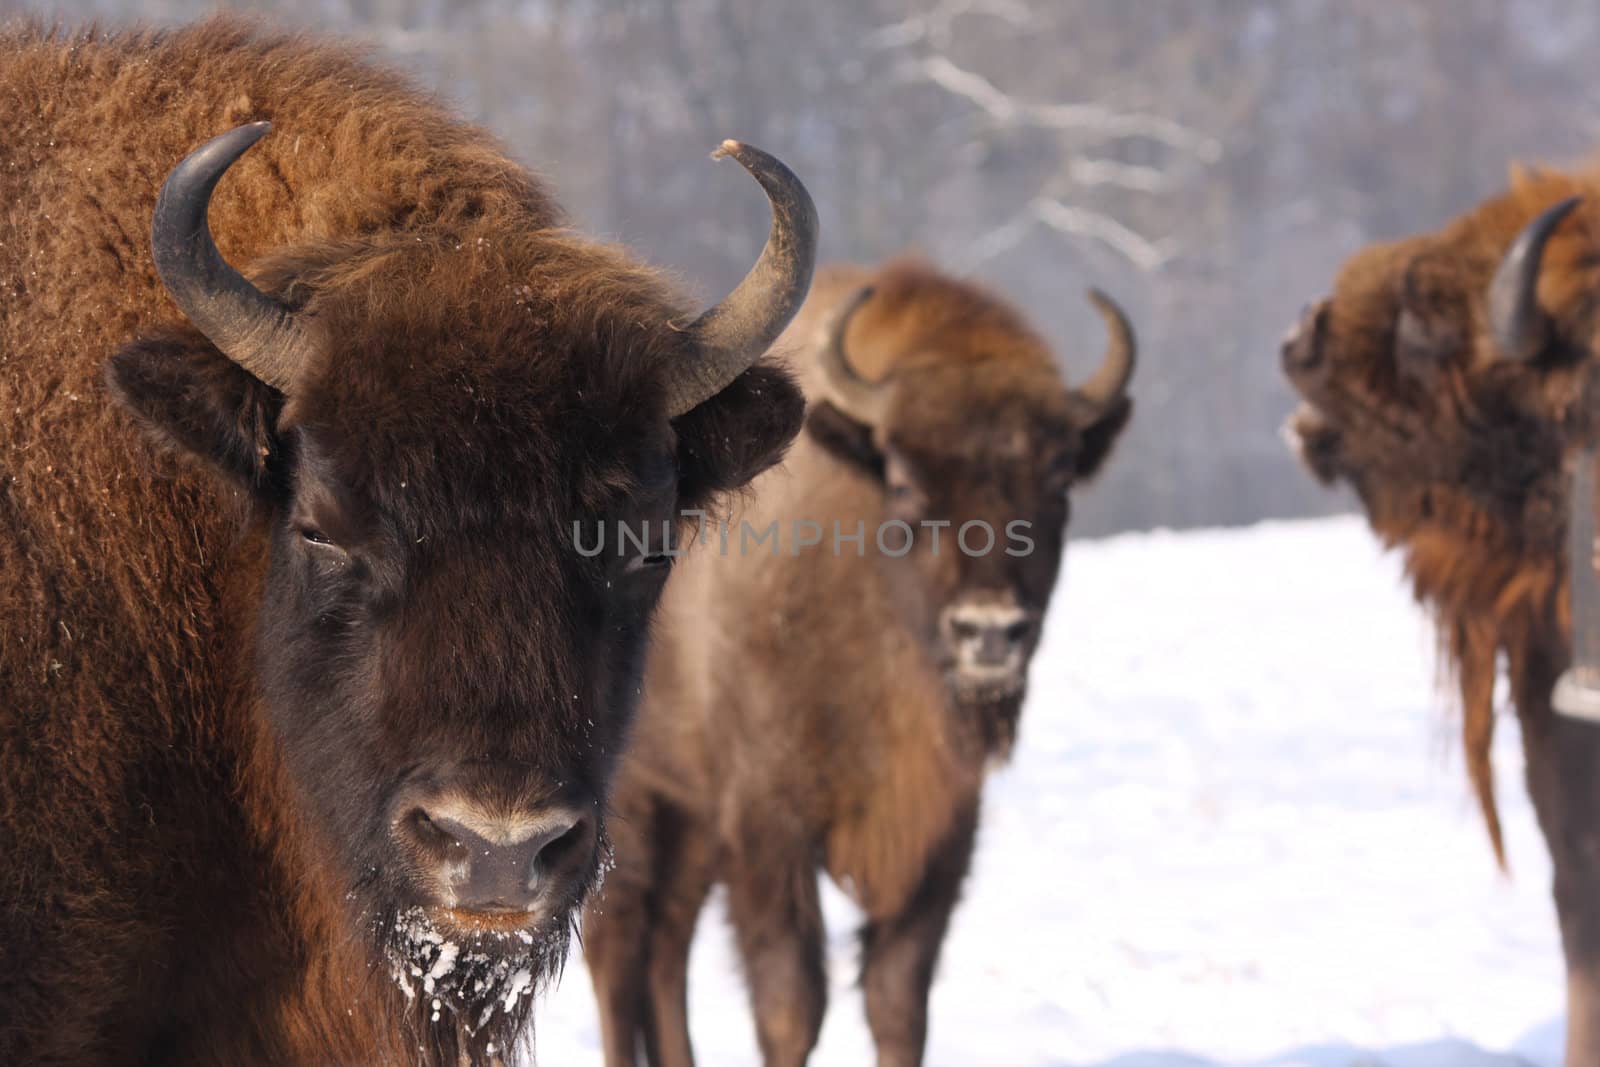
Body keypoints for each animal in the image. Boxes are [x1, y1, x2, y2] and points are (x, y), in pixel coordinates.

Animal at [588, 260, 1139, 1067]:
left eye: (1061, 477)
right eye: (903, 479)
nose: (989, 632)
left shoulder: (941, 829)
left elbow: (897, 1000)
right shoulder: (767, 822)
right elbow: (791, 1003)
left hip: (688, 817)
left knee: (667, 947)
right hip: (634, 802)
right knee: (620, 947)